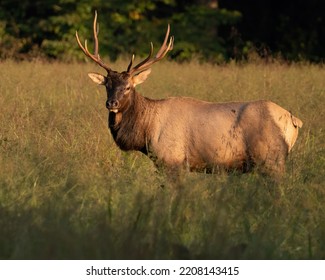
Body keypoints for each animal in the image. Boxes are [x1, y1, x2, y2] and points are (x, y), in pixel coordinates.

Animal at [75, 12, 302, 176]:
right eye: (107, 84)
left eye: (129, 86)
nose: (111, 103)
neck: (146, 132)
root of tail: (294, 120)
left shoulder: (172, 160)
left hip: (271, 159)